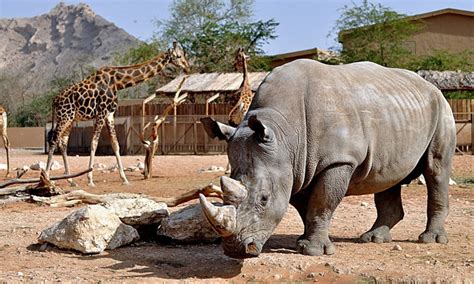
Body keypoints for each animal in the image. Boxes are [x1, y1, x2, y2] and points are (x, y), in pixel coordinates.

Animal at [46, 42, 190, 186]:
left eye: (184, 54)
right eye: (178, 56)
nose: (188, 68)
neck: (118, 82)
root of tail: (54, 100)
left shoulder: (109, 114)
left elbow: (115, 144)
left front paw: (125, 179)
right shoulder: (101, 112)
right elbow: (94, 143)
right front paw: (90, 179)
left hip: (70, 118)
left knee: (63, 143)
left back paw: (70, 180)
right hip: (64, 116)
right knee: (54, 140)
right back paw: (47, 177)